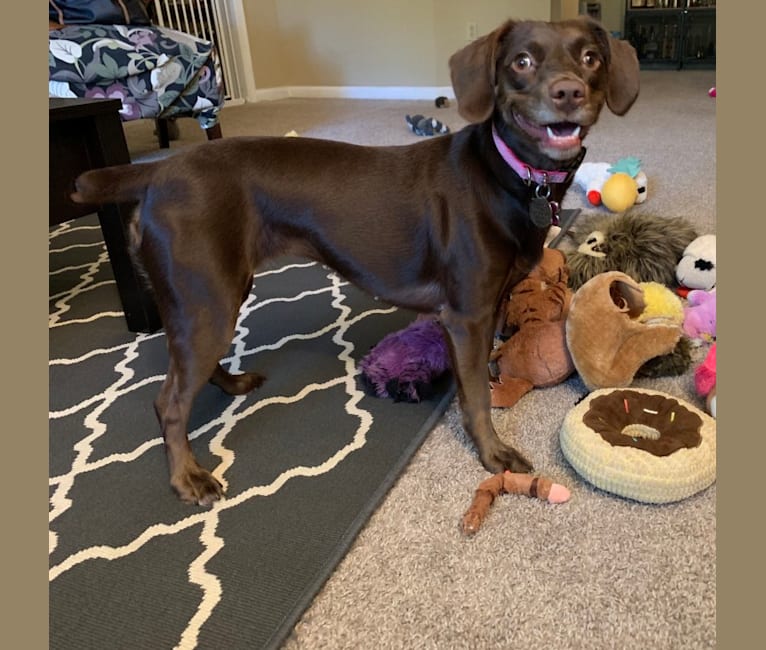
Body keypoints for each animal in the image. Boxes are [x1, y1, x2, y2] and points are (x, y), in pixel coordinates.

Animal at [72, 13, 640, 502]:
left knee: (191, 369)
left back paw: (232, 383)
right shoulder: (467, 315)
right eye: (521, 61)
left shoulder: (494, 302)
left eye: (590, 57)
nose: (568, 92)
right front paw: (493, 453)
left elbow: (484, 373)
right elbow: (477, 395)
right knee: (167, 400)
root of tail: (157, 171)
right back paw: (187, 477)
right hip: (206, 298)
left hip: (216, 295)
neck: (514, 175)